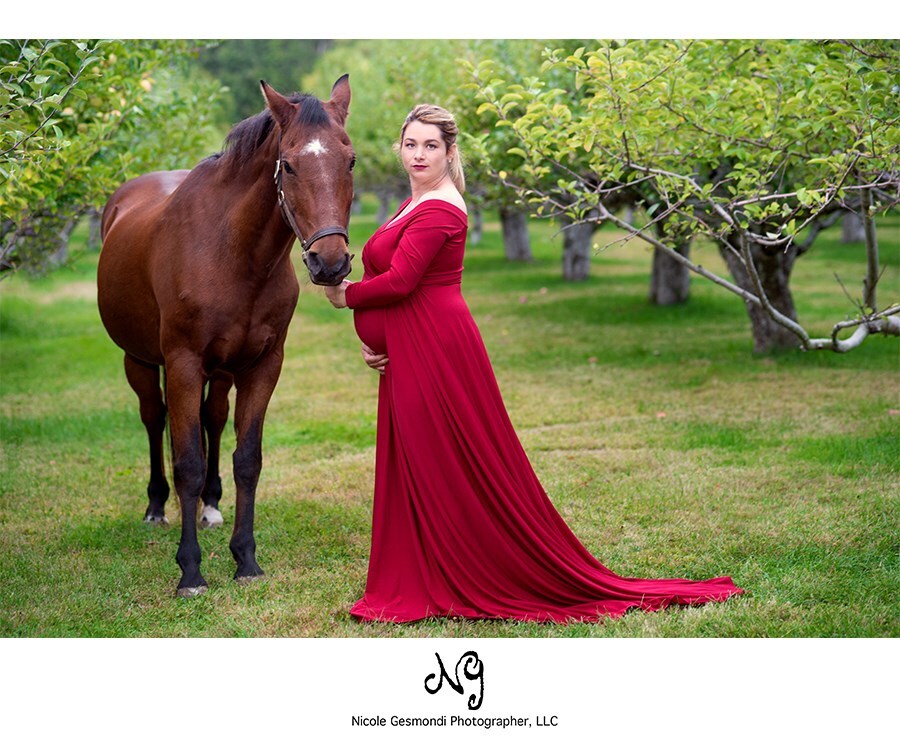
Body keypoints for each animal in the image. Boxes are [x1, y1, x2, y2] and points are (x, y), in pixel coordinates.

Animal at [97, 76, 355, 597]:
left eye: (351, 160)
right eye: (289, 164)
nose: (330, 263)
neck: (233, 252)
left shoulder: (262, 366)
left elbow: (247, 459)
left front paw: (246, 560)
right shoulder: (183, 364)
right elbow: (187, 463)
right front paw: (191, 571)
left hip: (220, 372)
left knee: (212, 420)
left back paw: (211, 506)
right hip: (140, 361)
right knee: (154, 420)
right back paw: (156, 507)